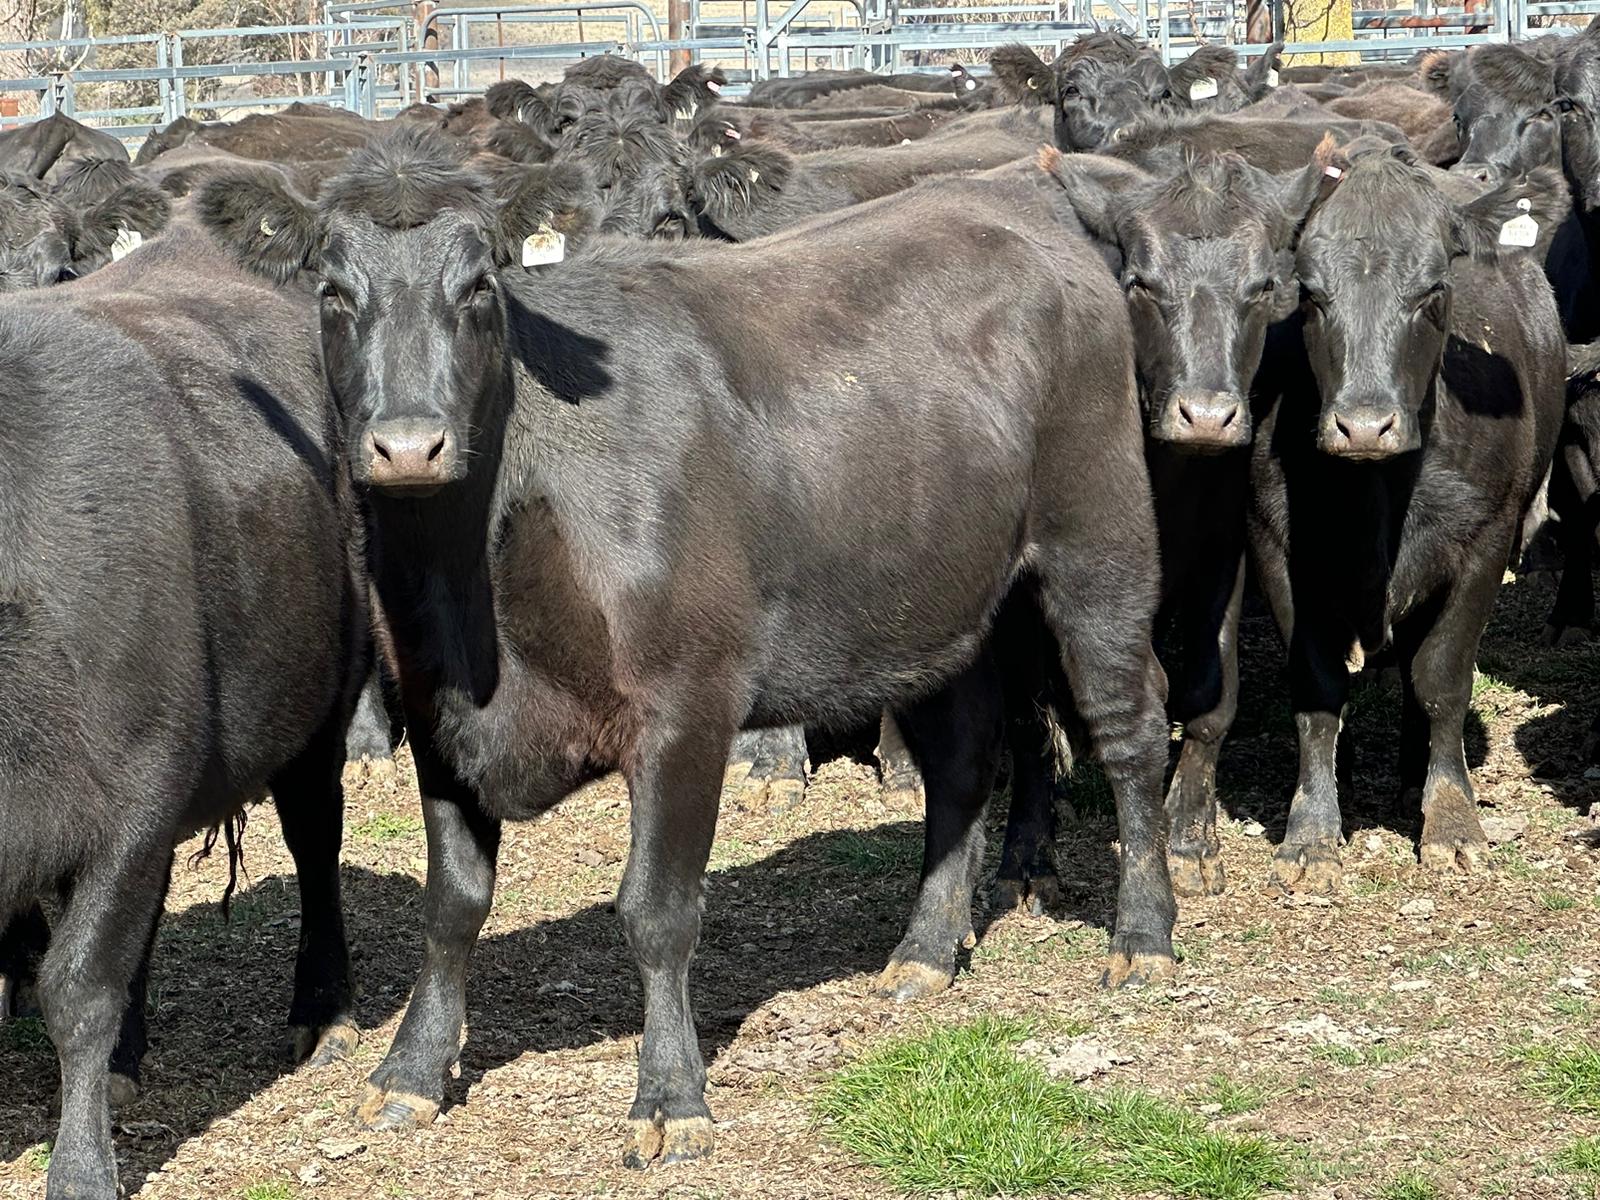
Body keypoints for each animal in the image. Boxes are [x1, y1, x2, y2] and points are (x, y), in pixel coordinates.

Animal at [0, 209, 370, 1200]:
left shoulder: (131, 800)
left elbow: (78, 985)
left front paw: (80, 1169)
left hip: (321, 715)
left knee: (316, 843)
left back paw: (324, 1012)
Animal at [198, 126, 1178, 1167]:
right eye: (333, 291)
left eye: (479, 286)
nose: (409, 444)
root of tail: (1019, 188)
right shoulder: (434, 712)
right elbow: (451, 904)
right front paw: (410, 1075)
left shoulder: (686, 707)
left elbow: (657, 911)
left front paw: (671, 1096)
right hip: (934, 599)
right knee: (961, 759)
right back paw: (921, 953)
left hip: (1098, 541)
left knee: (1128, 726)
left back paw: (1143, 937)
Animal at [1249, 147, 1564, 889]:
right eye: (1310, 293)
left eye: (1433, 290)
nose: (1364, 425)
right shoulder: (1278, 548)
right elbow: (1317, 688)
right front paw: (1312, 831)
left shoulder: (1484, 543)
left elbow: (1441, 680)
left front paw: (1451, 820)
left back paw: (1416, 779)